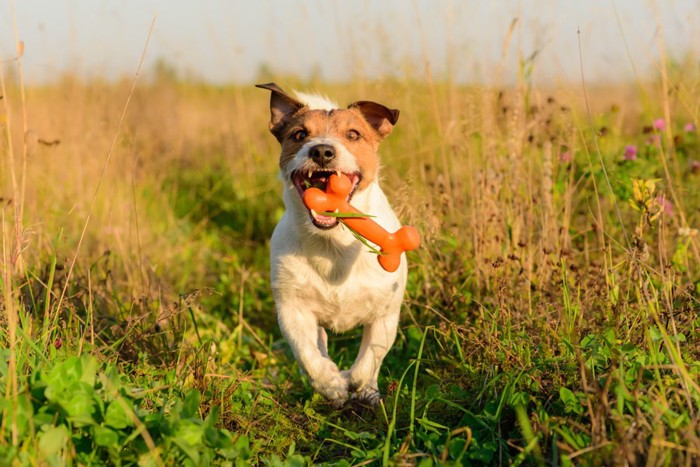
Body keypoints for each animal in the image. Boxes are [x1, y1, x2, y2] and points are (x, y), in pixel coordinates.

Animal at [258, 81, 408, 406]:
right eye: (299, 135)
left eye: (353, 135)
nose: (322, 150)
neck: (333, 244)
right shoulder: (292, 309)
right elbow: (307, 354)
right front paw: (332, 384)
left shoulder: (386, 313)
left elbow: (371, 356)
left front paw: (358, 382)